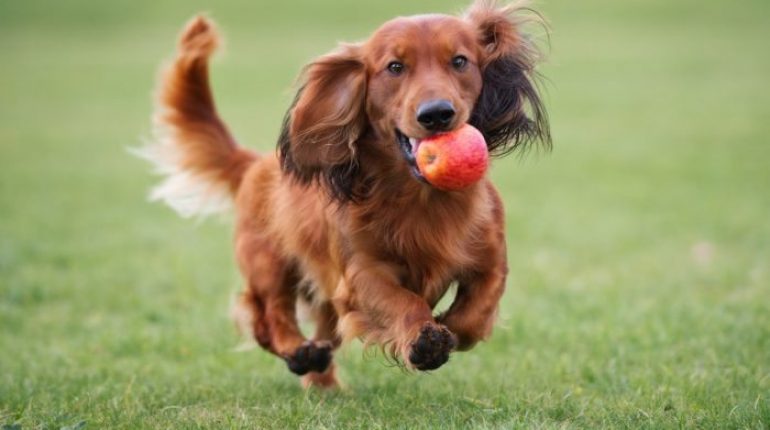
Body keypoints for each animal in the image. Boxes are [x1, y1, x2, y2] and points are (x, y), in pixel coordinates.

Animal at [141, 0, 548, 388]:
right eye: (395, 67)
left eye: (460, 61)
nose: (436, 114)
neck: (422, 199)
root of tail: (255, 163)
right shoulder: (361, 273)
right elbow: (402, 301)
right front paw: (424, 338)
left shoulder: (491, 262)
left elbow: (474, 316)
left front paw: (447, 325)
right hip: (268, 262)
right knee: (268, 316)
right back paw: (298, 352)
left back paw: (323, 381)